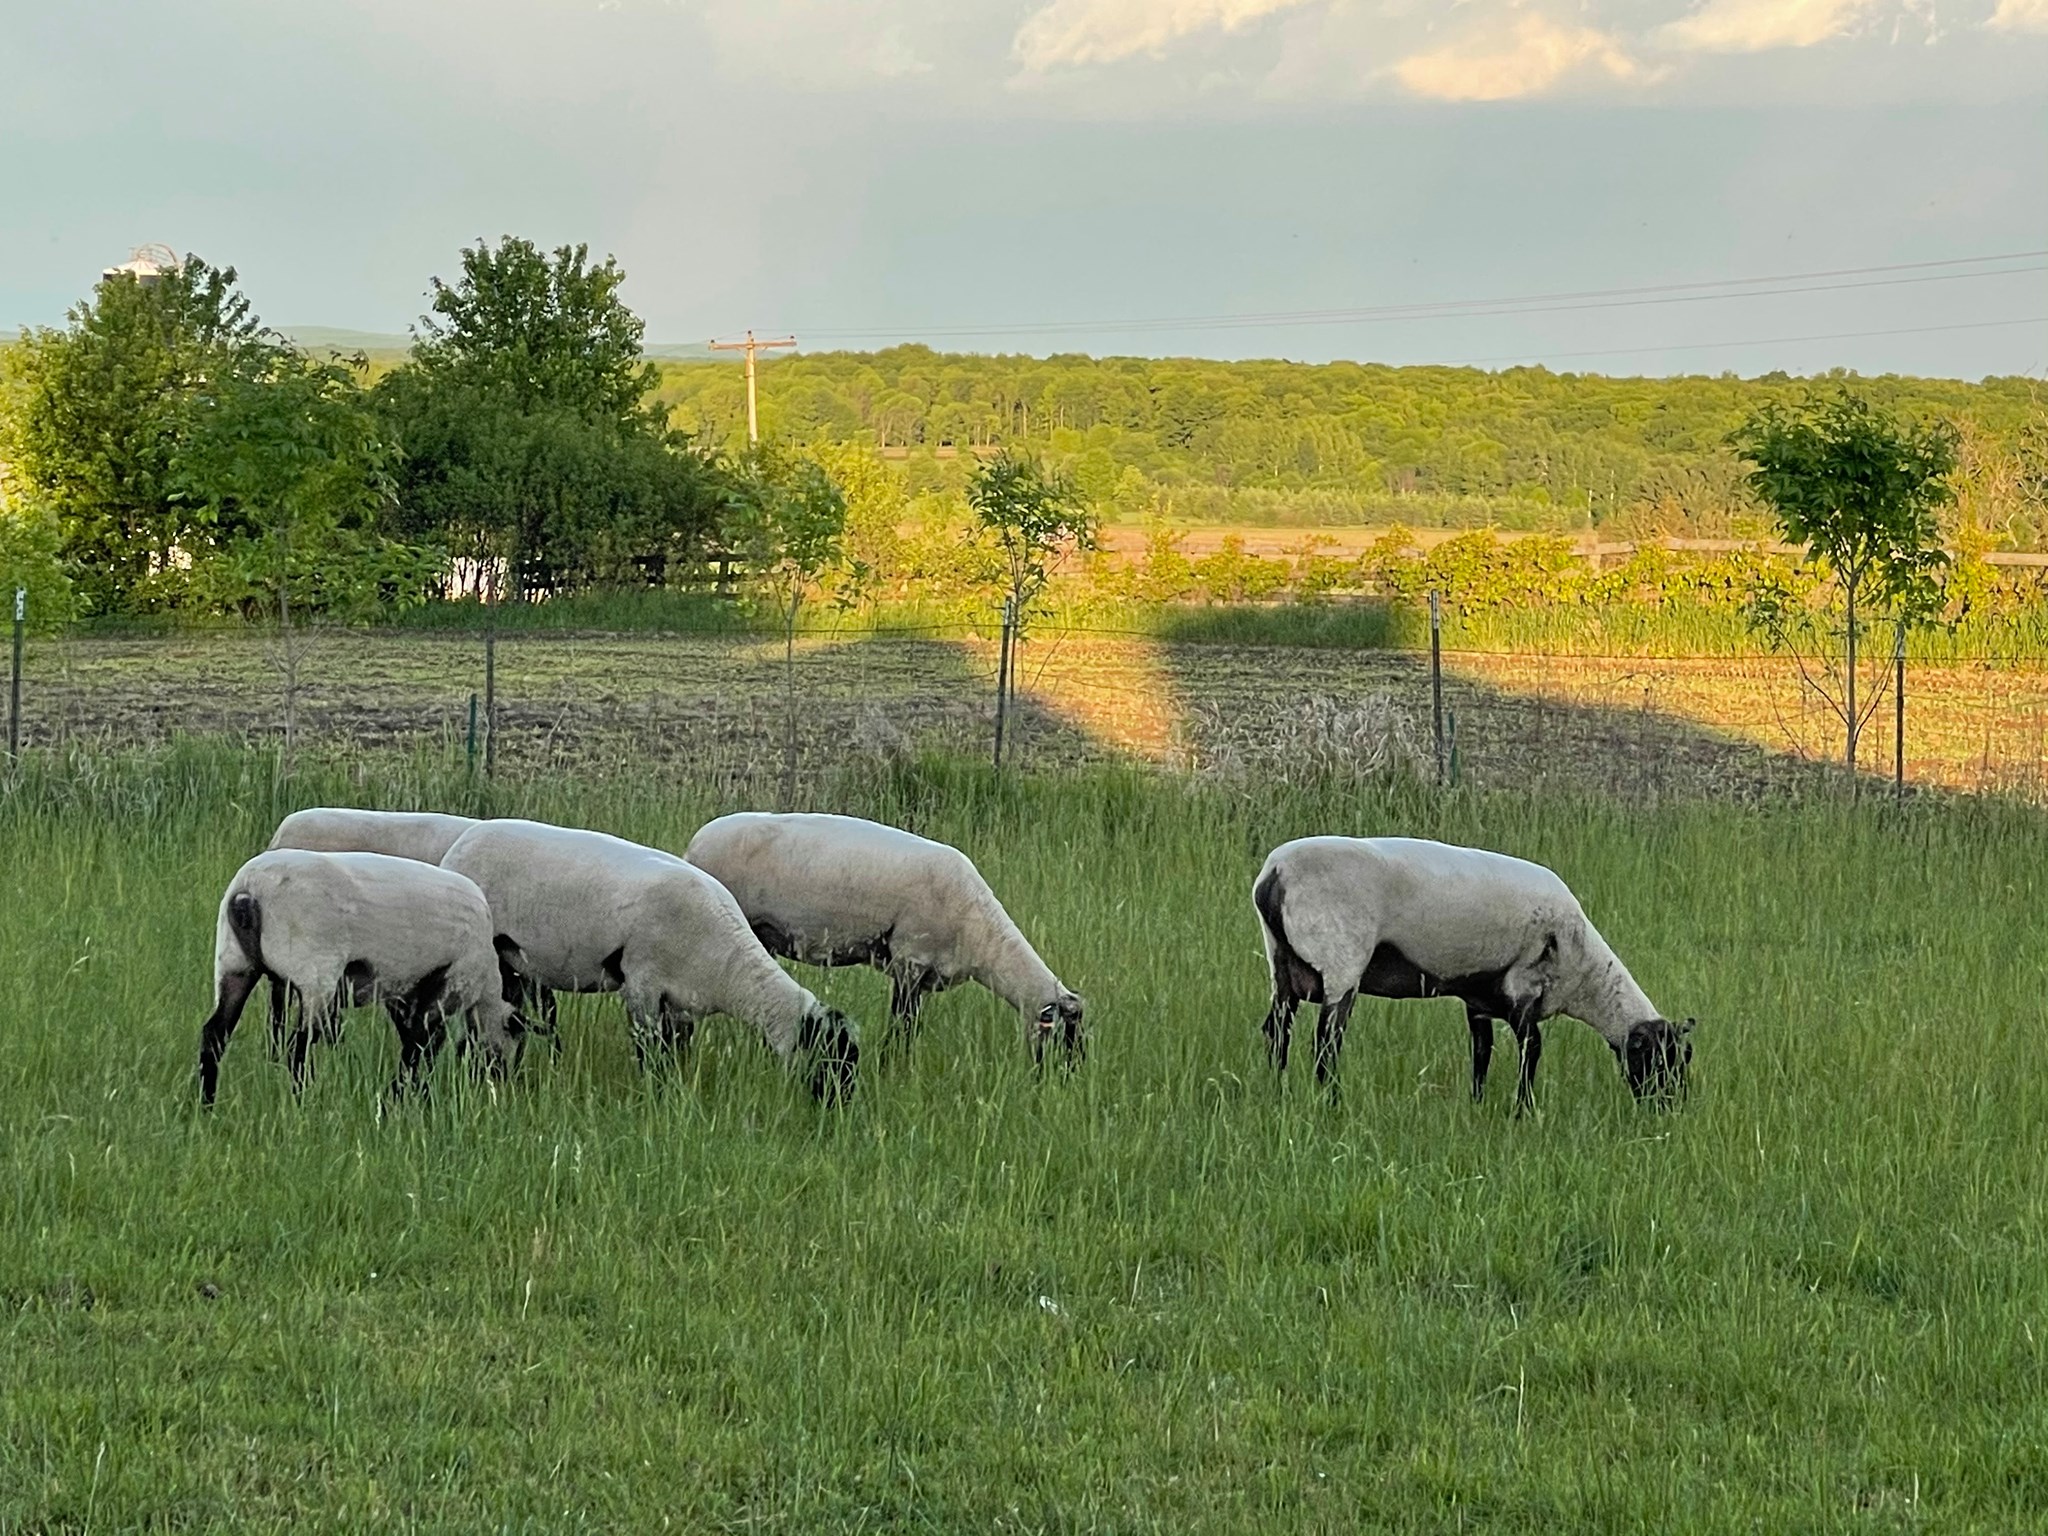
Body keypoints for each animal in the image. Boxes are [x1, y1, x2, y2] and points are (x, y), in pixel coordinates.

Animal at [198, 849, 524, 1106]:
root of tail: (249, 892)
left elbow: (412, 1040)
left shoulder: (401, 991)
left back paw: (207, 1105)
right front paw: (402, 1097)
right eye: (515, 1042)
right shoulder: (452, 983)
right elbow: (421, 1045)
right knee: (297, 1048)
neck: (487, 989)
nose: (504, 1081)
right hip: (315, 972)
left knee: (214, 1034)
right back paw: (303, 1103)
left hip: (233, 963)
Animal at [439, 819, 860, 1101]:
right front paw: (654, 1095)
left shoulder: (680, 1002)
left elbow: (675, 1050)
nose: (837, 1104)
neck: (727, 964)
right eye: (829, 1057)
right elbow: (650, 1053)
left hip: (515, 962)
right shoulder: (642, 982)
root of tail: (461, 843)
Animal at [681, 811, 1084, 1065]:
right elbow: (902, 1027)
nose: (1067, 1081)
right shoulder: (910, 959)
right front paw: (893, 1067)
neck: (984, 939)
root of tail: (694, 844)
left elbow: (910, 1027)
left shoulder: (924, 974)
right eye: (1066, 1038)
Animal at [1252, 836, 1692, 1110]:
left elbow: (1481, 1053)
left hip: (1282, 965)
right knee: (1326, 1044)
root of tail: (1275, 875)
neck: (1584, 972)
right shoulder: (1522, 988)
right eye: (1660, 1061)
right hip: (1340, 962)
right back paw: (1332, 1104)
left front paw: (1477, 1105)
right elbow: (1532, 1049)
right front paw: (1523, 1111)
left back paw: (1277, 1093)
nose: (1672, 1108)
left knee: (1277, 1031)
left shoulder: (1479, 1000)